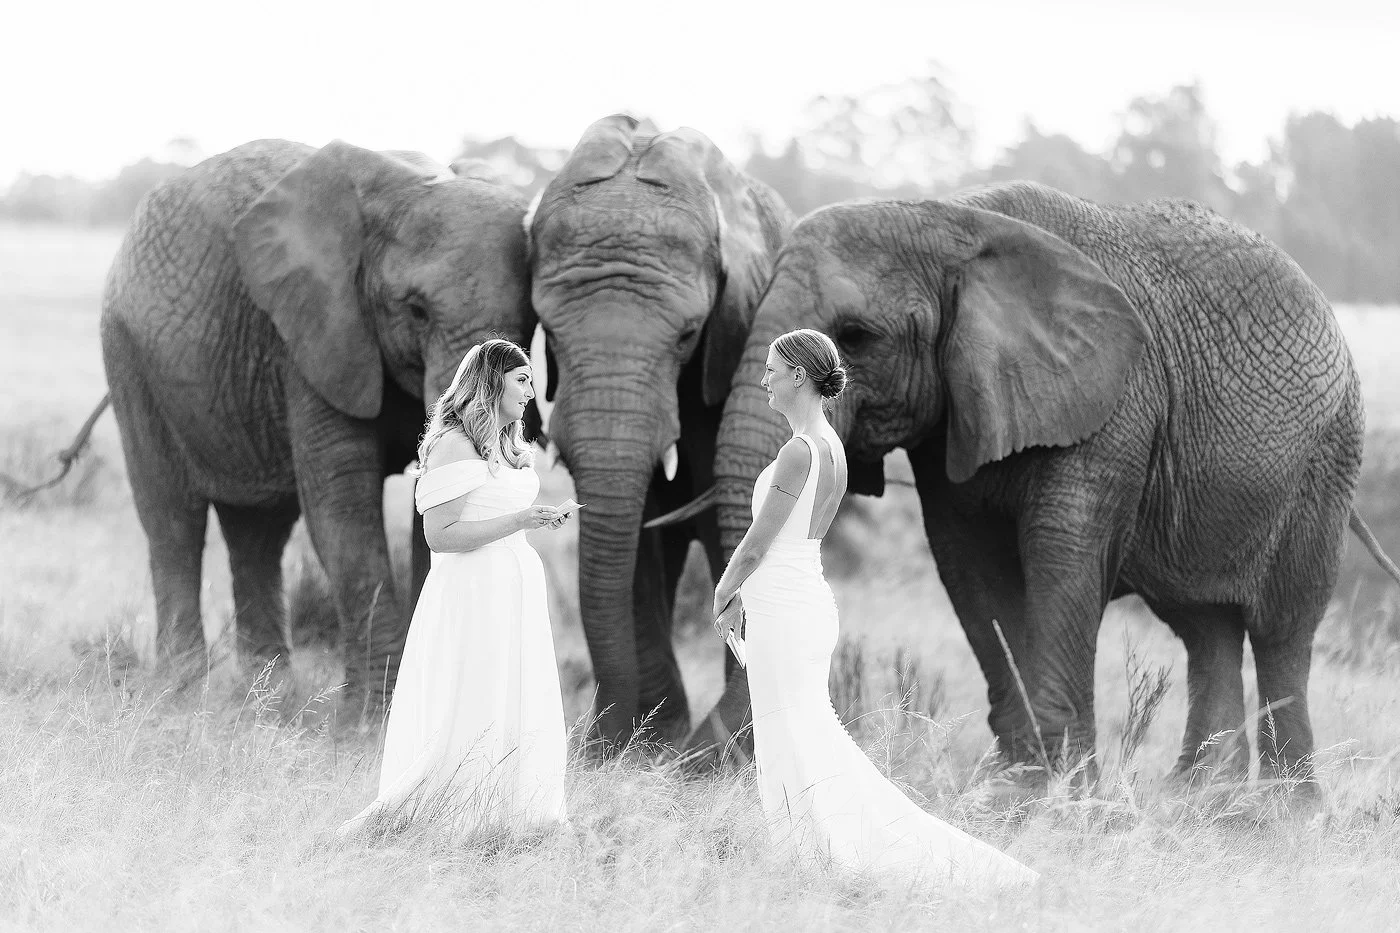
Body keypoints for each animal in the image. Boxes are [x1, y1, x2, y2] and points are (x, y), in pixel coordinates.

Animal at [100, 138, 536, 702]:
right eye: (415, 311)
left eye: (532, 318)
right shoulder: (317, 337)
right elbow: (343, 505)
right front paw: (370, 719)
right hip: (129, 354)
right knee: (173, 520)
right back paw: (182, 693)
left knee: (258, 531)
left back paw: (266, 697)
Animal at [525, 114, 792, 749]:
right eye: (547, 330)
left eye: (688, 334)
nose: (586, 745)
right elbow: (636, 532)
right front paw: (648, 742)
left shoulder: (732, 340)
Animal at [694, 180, 1400, 787]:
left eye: (858, 336)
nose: (700, 761)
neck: (952, 218)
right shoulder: (955, 421)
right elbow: (972, 567)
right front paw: (1016, 788)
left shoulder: (1117, 400)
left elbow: (1062, 552)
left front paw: (1057, 797)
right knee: (1207, 626)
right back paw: (1202, 804)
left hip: (1327, 459)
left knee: (1282, 629)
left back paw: (1282, 815)